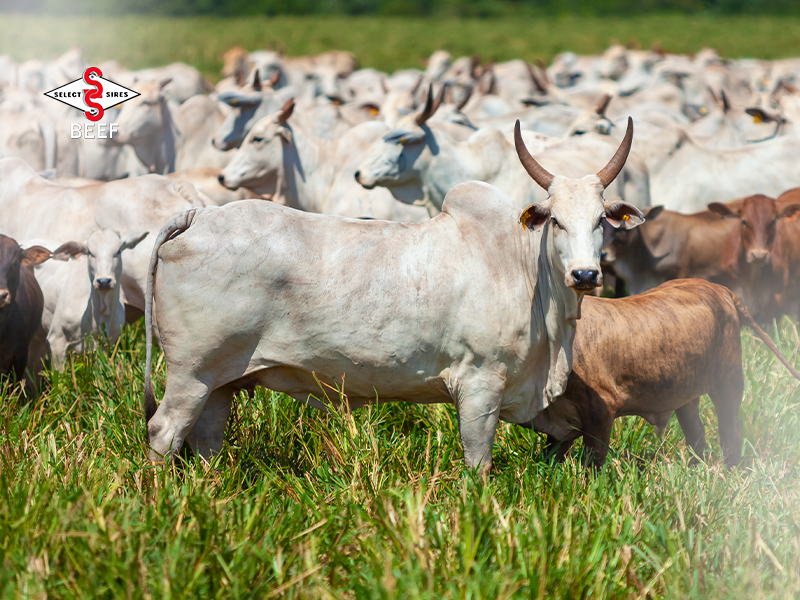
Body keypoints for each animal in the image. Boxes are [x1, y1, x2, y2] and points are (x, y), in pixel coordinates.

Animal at [142, 120, 644, 468]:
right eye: (555, 220)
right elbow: (478, 463)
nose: (585, 274)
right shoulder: (480, 386)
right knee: (163, 433)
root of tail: (199, 215)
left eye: (600, 220)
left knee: (206, 440)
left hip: (220, 381)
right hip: (191, 373)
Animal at [524, 278, 800, 468]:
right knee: (697, 435)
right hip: (685, 395)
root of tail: (718, 287)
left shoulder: (600, 409)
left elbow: (594, 460)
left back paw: (732, 470)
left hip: (728, 381)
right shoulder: (559, 426)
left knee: (730, 429)